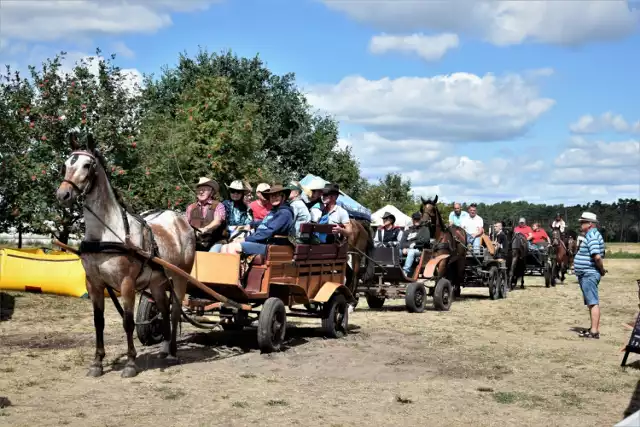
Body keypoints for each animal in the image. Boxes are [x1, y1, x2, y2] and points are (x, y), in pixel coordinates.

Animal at [55, 134, 195, 378]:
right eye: (66, 165)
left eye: (87, 165)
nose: (63, 194)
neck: (105, 232)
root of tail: (181, 220)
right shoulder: (94, 283)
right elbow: (98, 322)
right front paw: (97, 363)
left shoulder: (126, 283)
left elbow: (128, 323)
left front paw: (130, 364)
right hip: (158, 283)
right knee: (164, 310)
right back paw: (164, 349)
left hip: (180, 278)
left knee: (175, 312)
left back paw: (173, 353)